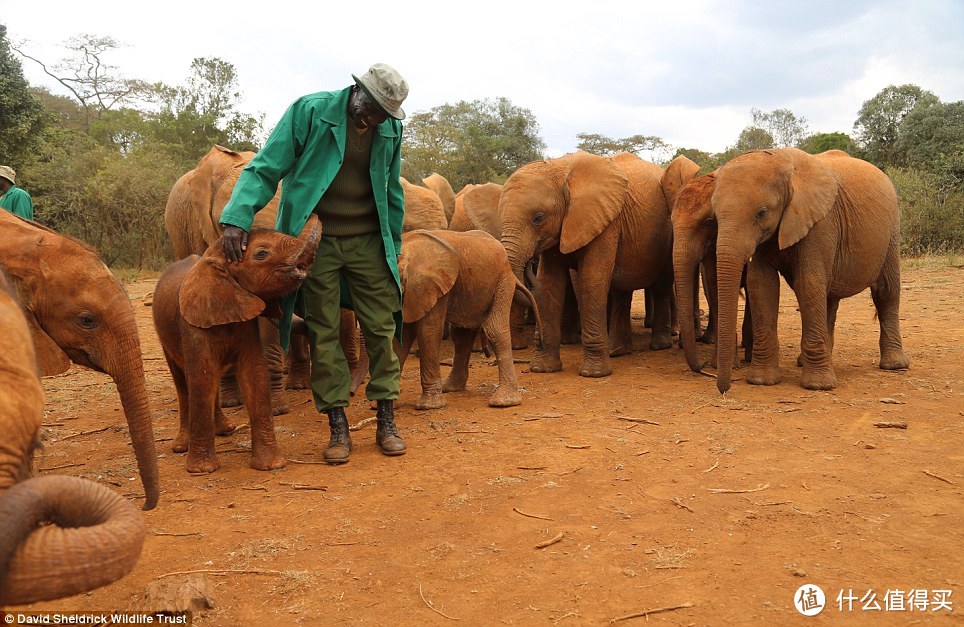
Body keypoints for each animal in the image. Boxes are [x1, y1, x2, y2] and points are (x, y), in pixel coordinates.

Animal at [153, 215, 322, 472]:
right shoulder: (192, 325)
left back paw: (225, 430)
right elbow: (201, 377)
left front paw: (271, 466)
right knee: (183, 382)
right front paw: (202, 470)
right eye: (261, 254)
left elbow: (254, 374)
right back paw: (182, 446)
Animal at [500, 152, 696, 378]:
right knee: (623, 291)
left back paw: (659, 345)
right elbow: (549, 284)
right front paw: (542, 369)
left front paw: (594, 374)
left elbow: (592, 279)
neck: (560, 170)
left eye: (538, 218)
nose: (530, 261)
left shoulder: (606, 221)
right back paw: (619, 351)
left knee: (661, 285)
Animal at [712, 147, 908, 392]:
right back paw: (806, 360)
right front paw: (762, 381)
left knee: (885, 291)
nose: (724, 389)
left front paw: (818, 386)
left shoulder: (821, 222)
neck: (780, 160)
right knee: (829, 297)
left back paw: (894, 365)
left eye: (762, 213)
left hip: (892, 230)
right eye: (715, 215)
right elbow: (762, 284)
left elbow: (808, 283)